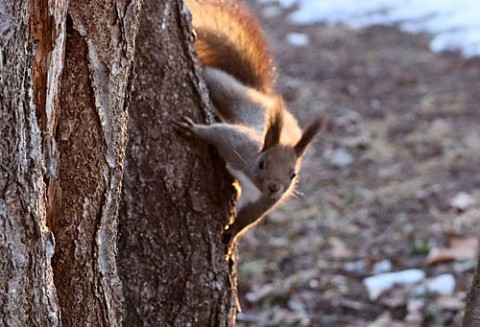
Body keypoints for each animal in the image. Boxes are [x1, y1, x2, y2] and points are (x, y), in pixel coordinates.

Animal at [178, 0, 324, 246]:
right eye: (262, 163)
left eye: (293, 174)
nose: (274, 187)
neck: (253, 182)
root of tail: (260, 95)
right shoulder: (238, 144)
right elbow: (218, 133)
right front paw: (193, 129)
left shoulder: (264, 201)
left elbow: (248, 218)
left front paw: (231, 234)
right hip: (230, 92)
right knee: (214, 79)